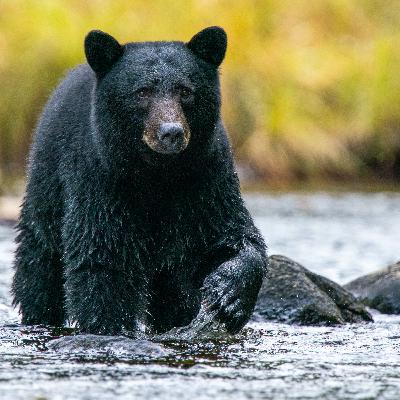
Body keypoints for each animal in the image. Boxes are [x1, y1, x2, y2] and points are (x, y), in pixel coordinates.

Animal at [11, 25, 268, 334]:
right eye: (142, 91)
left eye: (185, 91)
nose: (171, 132)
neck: (156, 174)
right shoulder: (101, 180)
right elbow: (102, 255)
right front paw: (112, 327)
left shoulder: (205, 180)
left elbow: (232, 234)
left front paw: (228, 294)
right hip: (48, 184)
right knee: (39, 258)